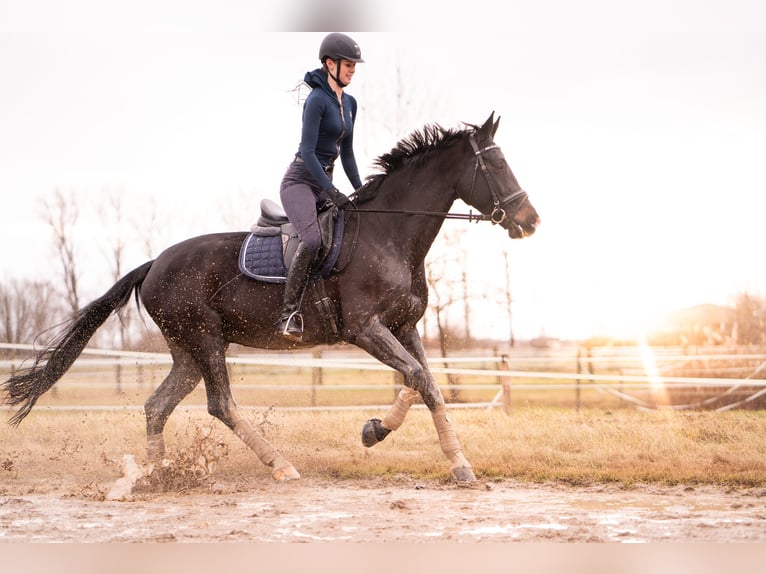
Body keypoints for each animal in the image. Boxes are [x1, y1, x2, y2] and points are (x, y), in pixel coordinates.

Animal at [1, 112, 540, 484]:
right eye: (496, 163)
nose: (530, 221)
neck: (390, 234)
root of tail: (153, 264)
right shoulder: (365, 330)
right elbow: (416, 377)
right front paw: (375, 432)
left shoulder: (404, 327)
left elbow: (427, 384)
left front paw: (456, 464)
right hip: (204, 338)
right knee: (221, 404)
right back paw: (279, 465)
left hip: (187, 348)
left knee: (158, 405)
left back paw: (158, 475)